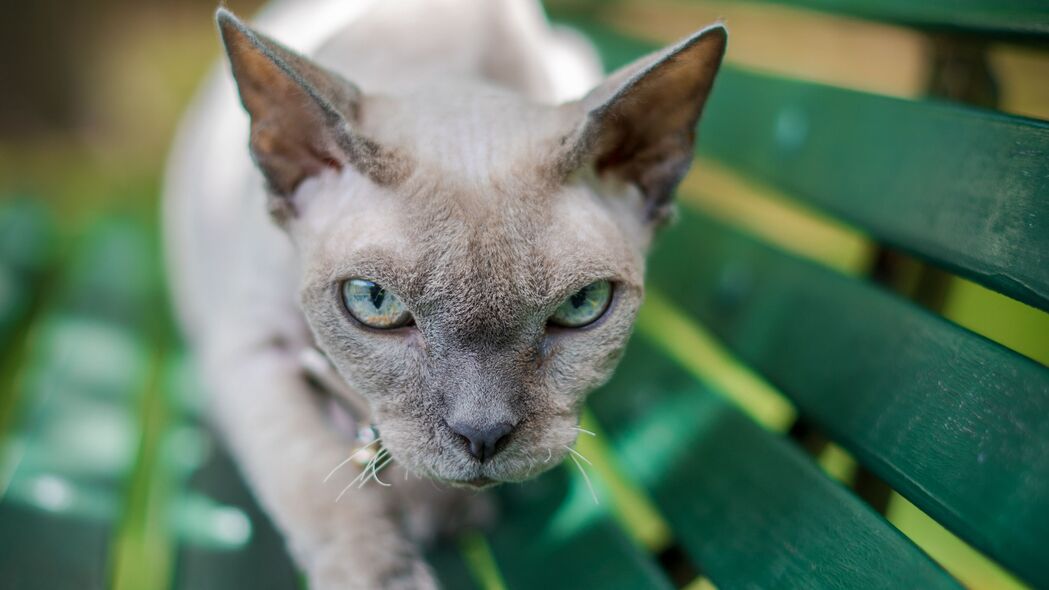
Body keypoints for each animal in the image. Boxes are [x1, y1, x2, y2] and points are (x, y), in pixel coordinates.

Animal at [163, 0, 725, 583]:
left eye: (581, 305)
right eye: (374, 302)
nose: (482, 435)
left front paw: (441, 508)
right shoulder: (250, 352)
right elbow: (316, 481)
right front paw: (384, 575)